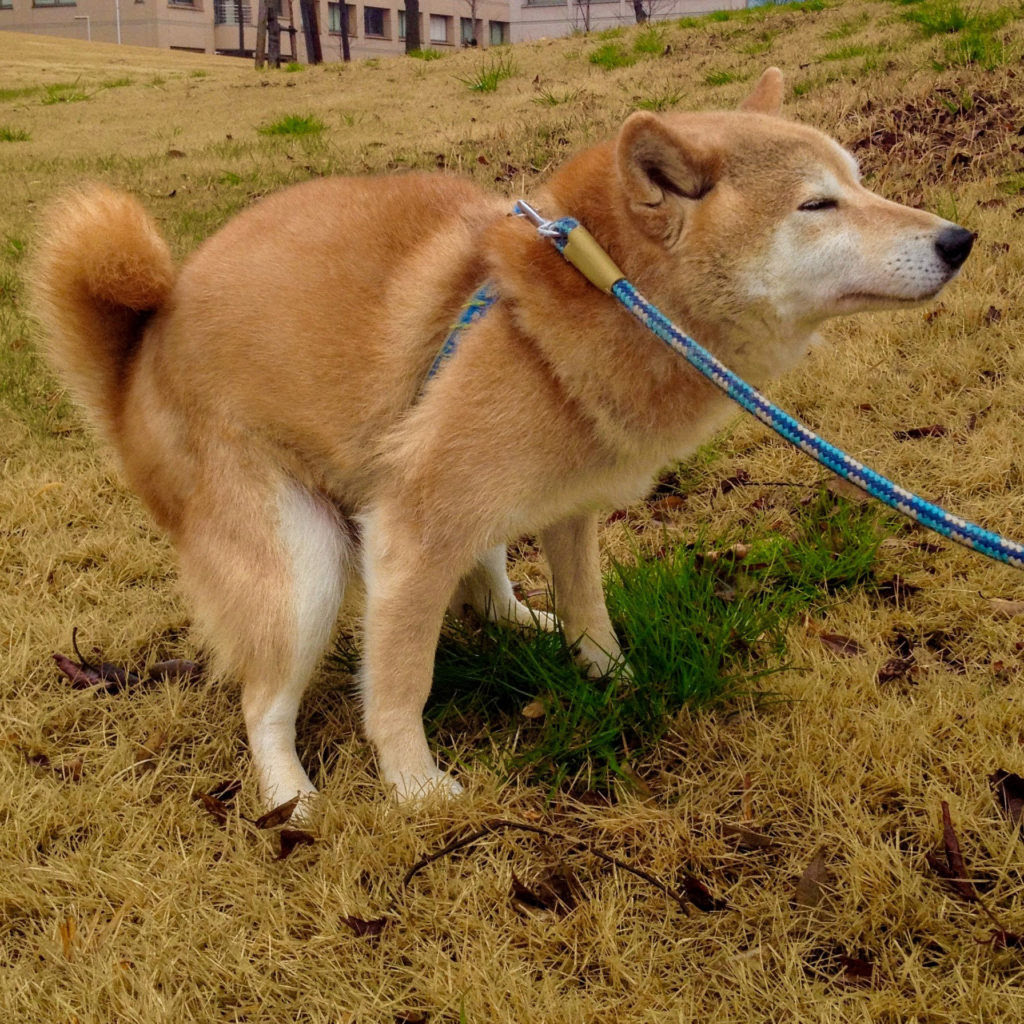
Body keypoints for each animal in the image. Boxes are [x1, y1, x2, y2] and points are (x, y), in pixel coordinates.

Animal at [34, 68, 974, 811]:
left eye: (861, 182)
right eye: (818, 204)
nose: (959, 239)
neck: (600, 297)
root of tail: (137, 351)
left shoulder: (568, 510)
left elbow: (591, 612)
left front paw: (612, 678)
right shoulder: (410, 534)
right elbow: (399, 683)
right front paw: (414, 788)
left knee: (483, 591)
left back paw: (525, 622)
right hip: (306, 565)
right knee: (264, 705)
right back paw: (292, 799)